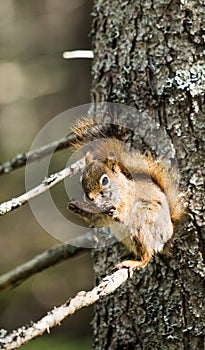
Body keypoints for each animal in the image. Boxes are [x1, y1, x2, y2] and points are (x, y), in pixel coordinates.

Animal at [67, 121, 184, 272]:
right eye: (81, 179)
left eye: (105, 180)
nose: (90, 198)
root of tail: (168, 233)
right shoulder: (101, 215)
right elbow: (97, 220)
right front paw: (75, 206)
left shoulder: (129, 197)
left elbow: (124, 210)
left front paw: (118, 214)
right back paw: (128, 254)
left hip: (142, 226)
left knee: (147, 255)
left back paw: (133, 262)